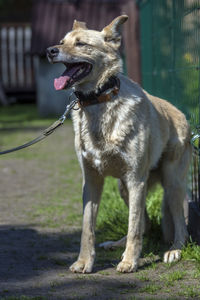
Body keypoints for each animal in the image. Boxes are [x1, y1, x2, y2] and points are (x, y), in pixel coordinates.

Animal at [46, 16, 191, 274]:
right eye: (62, 42)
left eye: (81, 44)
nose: (50, 51)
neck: (98, 101)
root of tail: (181, 114)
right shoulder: (91, 181)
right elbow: (88, 228)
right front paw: (84, 262)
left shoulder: (136, 180)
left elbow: (133, 226)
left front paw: (130, 261)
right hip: (124, 187)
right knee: (144, 225)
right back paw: (115, 244)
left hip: (171, 184)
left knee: (177, 224)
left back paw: (174, 250)